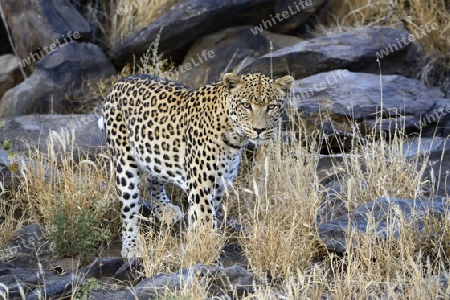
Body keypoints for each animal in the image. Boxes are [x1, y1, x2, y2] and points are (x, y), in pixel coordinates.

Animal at [103, 72, 298, 258]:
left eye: (271, 107)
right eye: (246, 105)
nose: (259, 130)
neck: (234, 137)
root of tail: (120, 82)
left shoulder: (219, 184)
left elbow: (201, 218)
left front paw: (197, 243)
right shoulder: (201, 185)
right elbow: (205, 218)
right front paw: (205, 251)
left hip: (159, 154)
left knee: (153, 180)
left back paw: (166, 210)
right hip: (125, 165)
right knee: (128, 210)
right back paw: (132, 246)